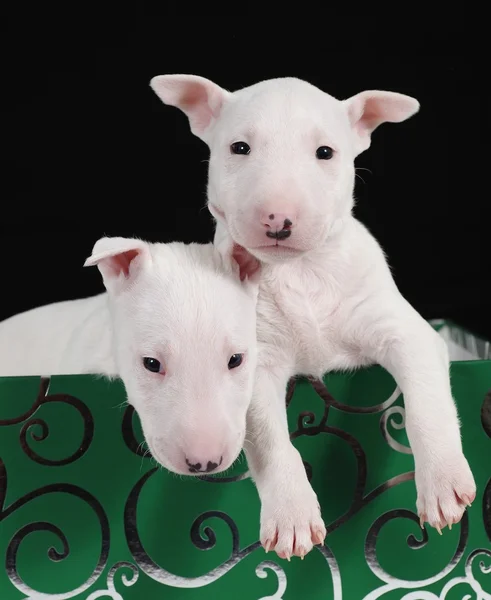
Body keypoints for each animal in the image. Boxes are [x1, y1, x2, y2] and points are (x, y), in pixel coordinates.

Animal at [152, 74, 478, 556]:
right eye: (239, 148)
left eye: (325, 152)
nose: (278, 218)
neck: (301, 272)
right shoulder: (256, 362)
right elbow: (271, 437)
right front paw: (291, 514)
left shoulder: (405, 332)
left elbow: (425, 401)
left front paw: (442, 482)